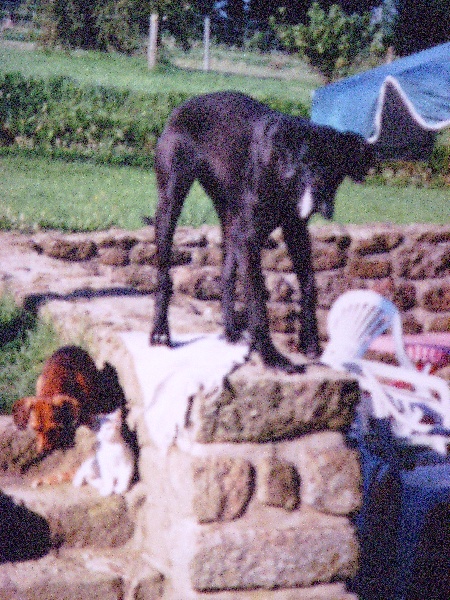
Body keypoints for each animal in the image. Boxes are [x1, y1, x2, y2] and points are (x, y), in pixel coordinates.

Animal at [150, 91, 372, 372]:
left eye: (334, 167)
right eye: (306, 162)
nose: (320, 197)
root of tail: (184, 105)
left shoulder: (295, 229)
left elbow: (309, 283)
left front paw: (309, 340)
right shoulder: (250, 239)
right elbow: (257, 297)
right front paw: (270, 355)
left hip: (230, 220)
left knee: (226, 274)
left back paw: (231, 331)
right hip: (171, 202)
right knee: (163, 273)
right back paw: (160, 332)